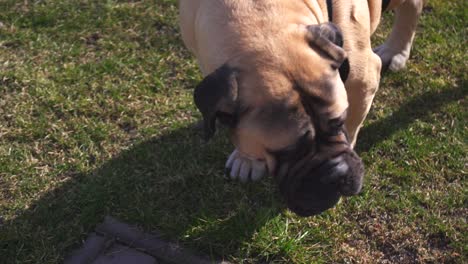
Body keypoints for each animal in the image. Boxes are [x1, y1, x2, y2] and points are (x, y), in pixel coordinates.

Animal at [178, 0, 420, 214]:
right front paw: (246, 158)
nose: (338, 174)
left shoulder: (362, 79)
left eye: (340, 122)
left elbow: (351, 130)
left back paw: (396, 50)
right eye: (289, 152)